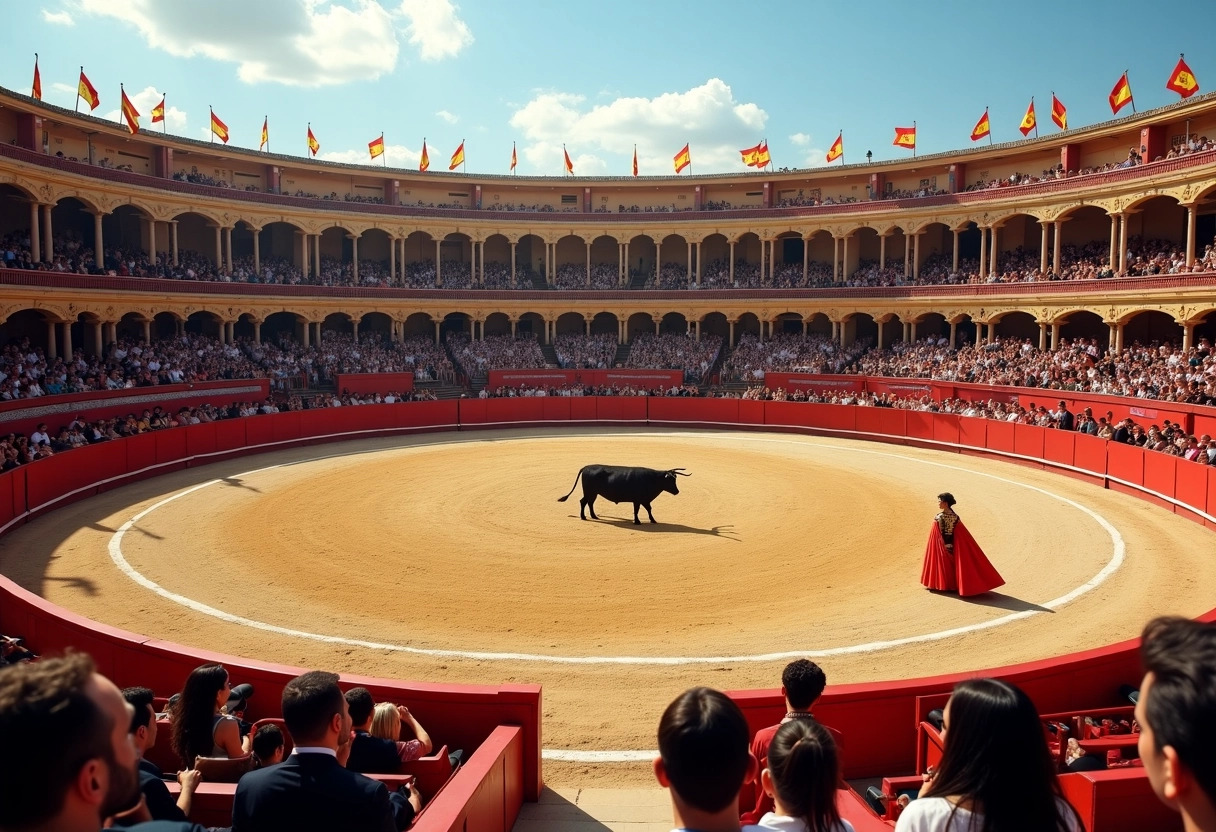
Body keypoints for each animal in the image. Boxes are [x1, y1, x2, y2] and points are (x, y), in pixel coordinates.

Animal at [556, 464, 690, 523]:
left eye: (675, 479)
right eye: (670, 480)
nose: (677, 491)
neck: (652, 479)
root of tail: (586, 467)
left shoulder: (645, 499)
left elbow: (648, 509)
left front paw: (653, 520)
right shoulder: (637, 500)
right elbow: (637, 510)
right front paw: (637, 522)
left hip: (594, 493)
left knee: (589, 503)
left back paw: (593, 516)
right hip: (590, 492)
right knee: (584, 502)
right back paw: (584, 517)